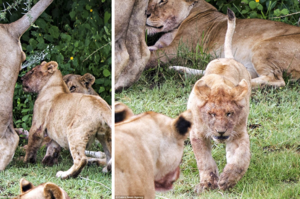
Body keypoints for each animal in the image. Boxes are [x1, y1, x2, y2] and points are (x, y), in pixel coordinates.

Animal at [146, 0, 300, 88]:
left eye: (162, 1)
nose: (145, 13)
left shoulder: (178, 50)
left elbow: (153, 56)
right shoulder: (161, 44)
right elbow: (150, 49)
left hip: (263, 47)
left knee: (275, 80)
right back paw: (179, 70)